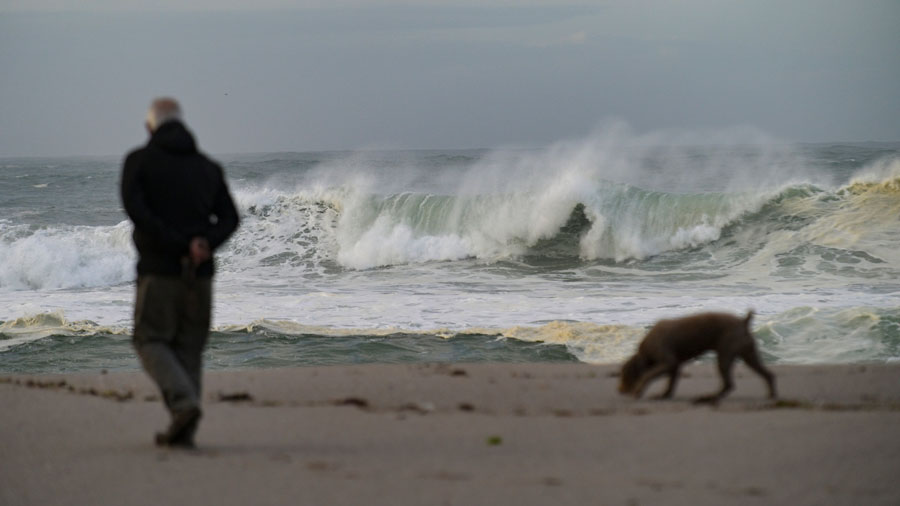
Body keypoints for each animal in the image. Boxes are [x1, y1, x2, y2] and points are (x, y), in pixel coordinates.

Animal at [620, 310, 772, 406]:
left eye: (625, 375)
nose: (619, 390)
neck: (646, 350)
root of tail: (743, 322)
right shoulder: (674, 366)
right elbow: (671, 382)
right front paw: (664, 395)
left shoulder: (668, 361)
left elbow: (648, 375)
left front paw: (638, 391)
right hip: (748, 354)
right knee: (768, 374)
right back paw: (771, 395)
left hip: (726, 354)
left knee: (728, 383)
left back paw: (708, 398)